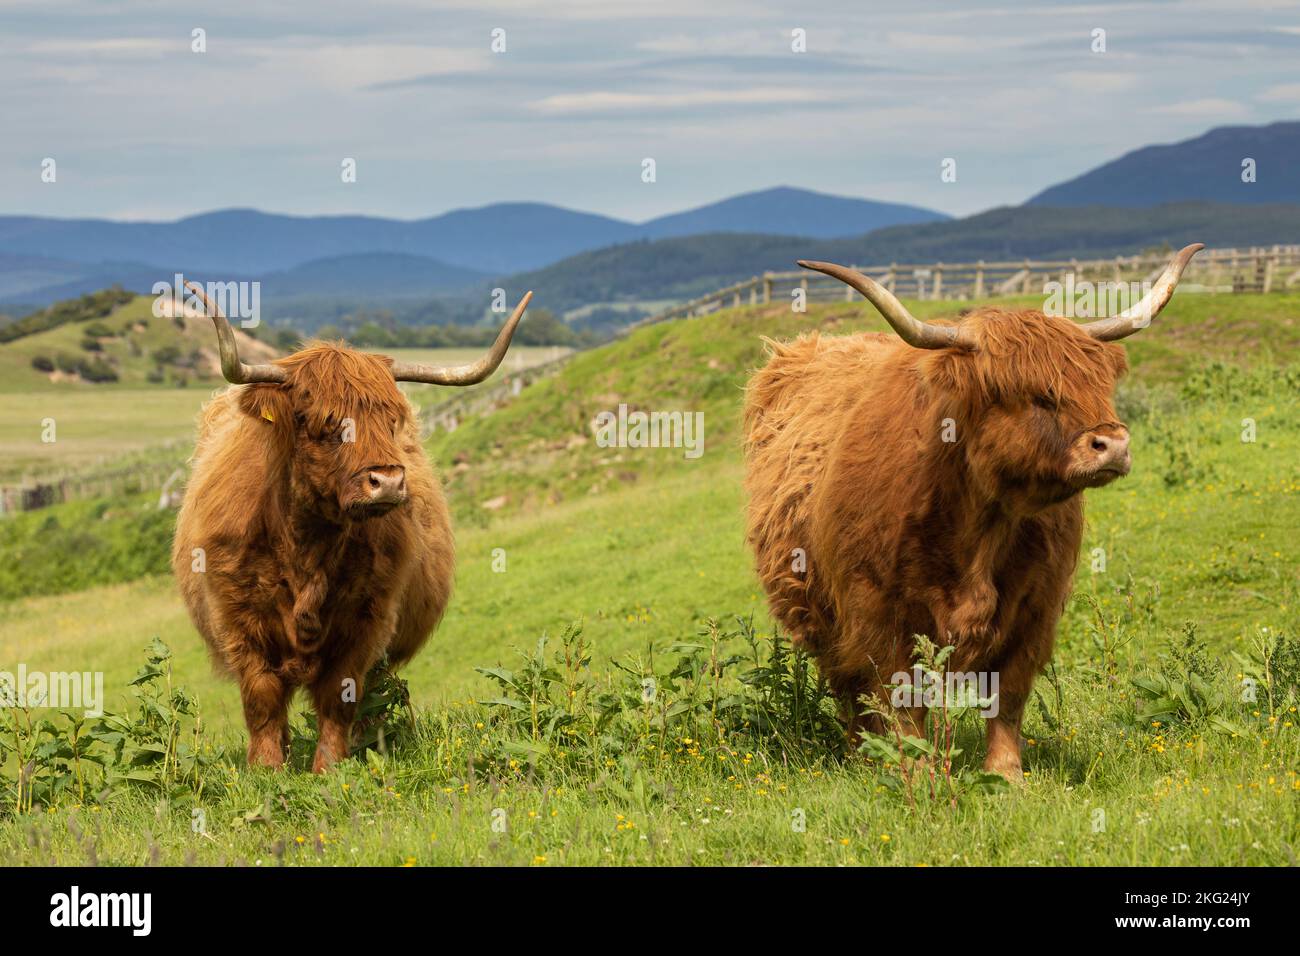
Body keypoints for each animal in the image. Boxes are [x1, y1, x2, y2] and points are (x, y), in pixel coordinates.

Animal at [171, 282, 527, 770]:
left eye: (391, 420)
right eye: (324, 421)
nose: (388, 481)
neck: (306, 544)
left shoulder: (367, 619)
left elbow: (340, 695)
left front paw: (330, 767)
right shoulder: (238, 618)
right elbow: (262, 697)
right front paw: (267, 768)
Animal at [748, 244, 1201, 780]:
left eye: (1099, 385)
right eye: (1036, 393)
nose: (1112, 445)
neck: (981, 528)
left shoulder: (1035, 610)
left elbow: (1008, 697)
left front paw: (1006, 776)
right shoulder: (878, 613)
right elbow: (902, 702)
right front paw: (918, 773)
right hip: (818, 613)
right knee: (849, 692)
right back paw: (862, 759)